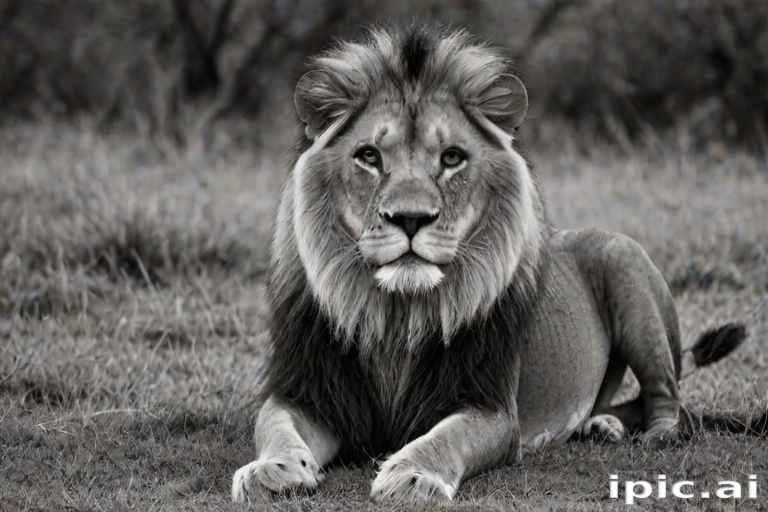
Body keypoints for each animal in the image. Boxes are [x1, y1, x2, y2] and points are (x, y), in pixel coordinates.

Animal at [231, 24, 746, 503]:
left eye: (452, 158)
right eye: (369, 156)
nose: (410, 218)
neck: (398, 316)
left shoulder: (491, 407)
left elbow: (447, 437)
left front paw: (412, 475)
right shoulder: (307, 392)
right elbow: (273, 424)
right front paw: (271, 470)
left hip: (626, 264)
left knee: (667, 397)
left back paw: (654, 436)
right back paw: (601, 426)